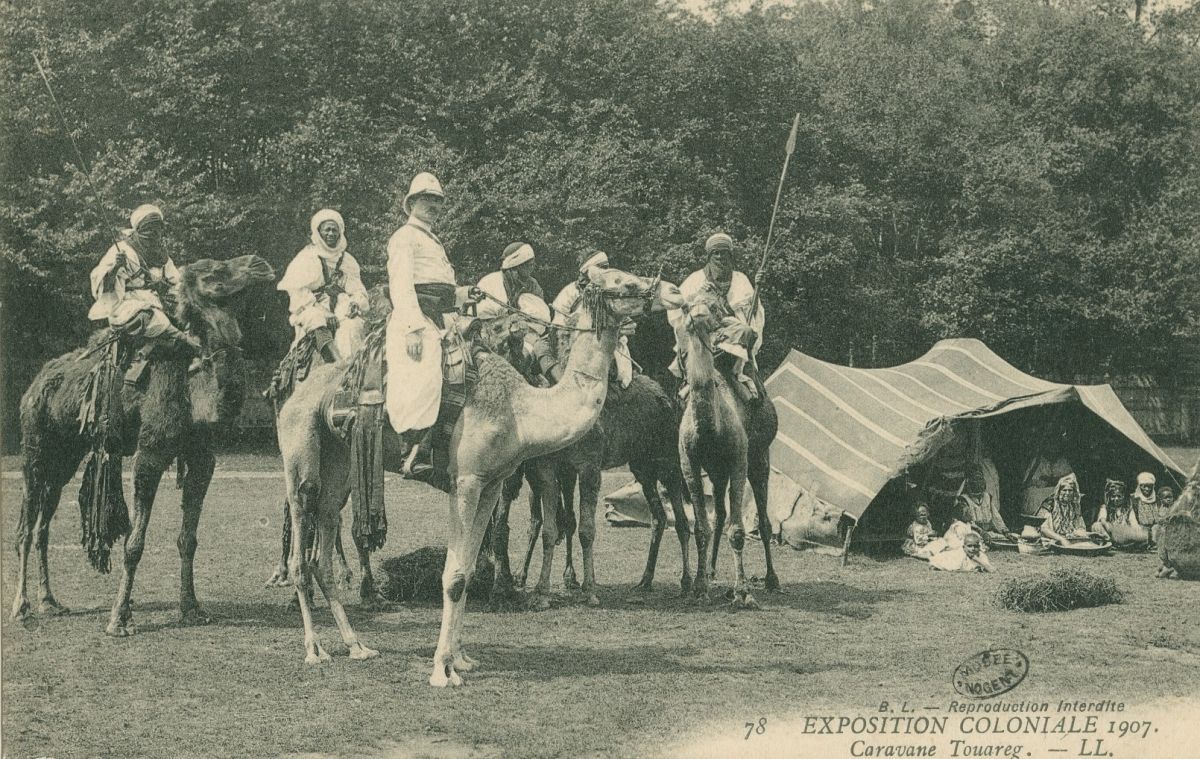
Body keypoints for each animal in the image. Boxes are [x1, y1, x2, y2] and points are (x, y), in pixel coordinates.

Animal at [10, 255, 275, 635]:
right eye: (214, 271)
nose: (261, 264)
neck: (197, 393)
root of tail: (33, 386)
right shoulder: (150, 453)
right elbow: (134, 543)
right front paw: (119, 619)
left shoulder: (202, 459)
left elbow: (188, 540)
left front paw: (192, 609)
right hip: (34, 446)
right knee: (25, 527)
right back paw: (22, 606)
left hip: (65, 456)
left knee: (43, 525)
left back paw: (50, 602)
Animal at [272, 267, 683, 682]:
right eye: (626, 283)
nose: (674, 292)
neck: (523, 412)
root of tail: (293, 392)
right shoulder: (466, 481)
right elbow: (453, 576)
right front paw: (442, 670)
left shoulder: (492, 483)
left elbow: (468, 569)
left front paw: (462, 658)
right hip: (300, 449)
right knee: (301, 530)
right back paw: (314, 649)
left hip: (341, 462)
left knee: (324, 535)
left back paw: (357, 646)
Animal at [674, 285, 779, 606]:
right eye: (686, 305)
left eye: (714, 308)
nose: (697, 315)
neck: (711, 426)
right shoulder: (690, 464)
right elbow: (700, 528)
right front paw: (699, 587)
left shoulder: (738, 461)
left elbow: (738, 531)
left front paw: (743, 591)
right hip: (716, 471)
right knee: (718, 516)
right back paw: (710, 571)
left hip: (759, 458)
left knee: (764, 520)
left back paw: (772, 579)